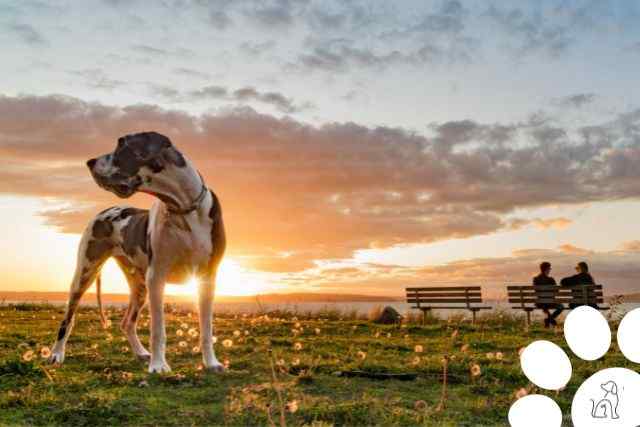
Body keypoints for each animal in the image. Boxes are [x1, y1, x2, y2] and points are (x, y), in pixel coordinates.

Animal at [48, 132, 226, 372]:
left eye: (121, 145)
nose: (90, 162)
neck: (183, 208)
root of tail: (105, 211)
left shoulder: (207, 276)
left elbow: (206, 328)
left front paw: (211, 363)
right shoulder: (156, 276)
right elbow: (158, 329)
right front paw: (158, 366)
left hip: (139, 286)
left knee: (127, 323)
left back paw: (141, 352)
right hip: (85, 272)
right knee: (68, 318)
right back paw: (56, 354)